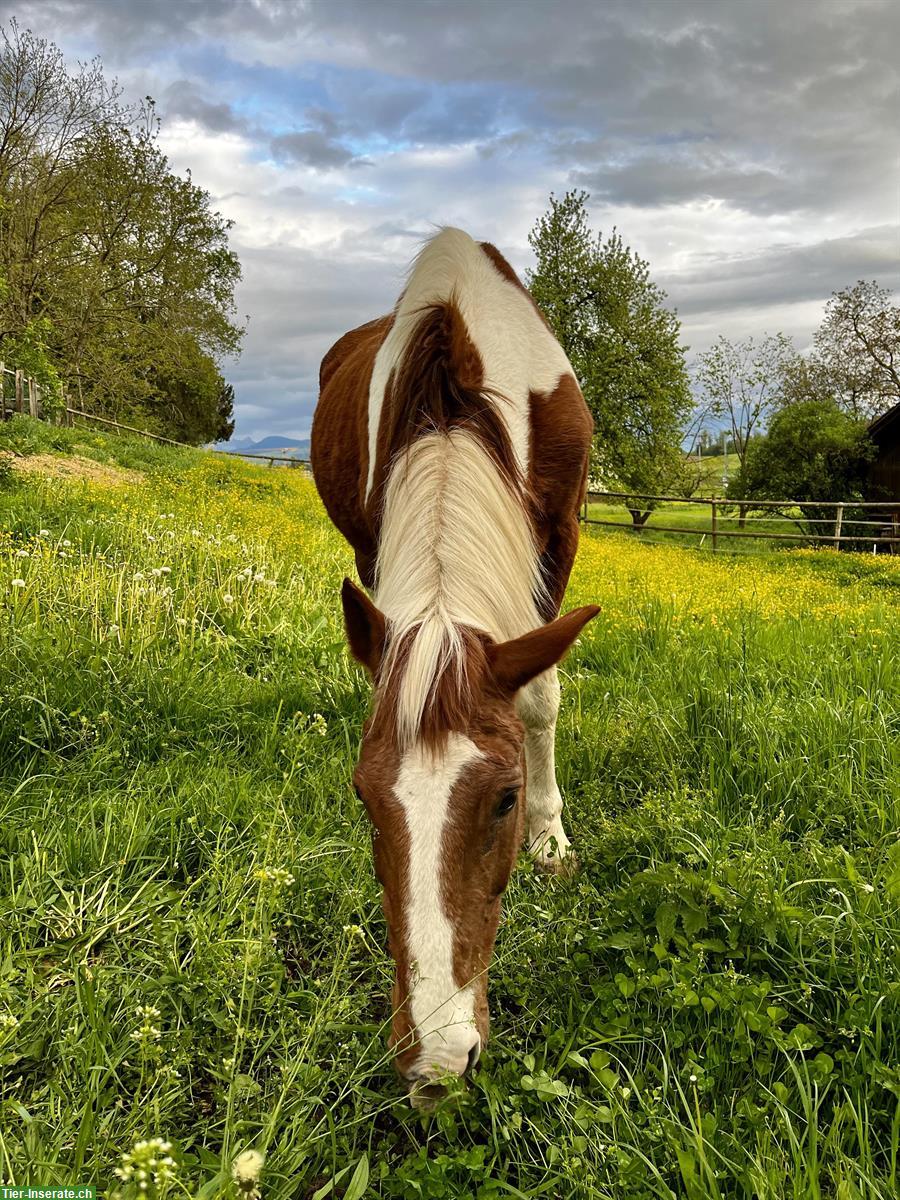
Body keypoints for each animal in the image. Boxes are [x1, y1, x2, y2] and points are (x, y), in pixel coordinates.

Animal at [309, 225, 600, 1099]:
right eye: (363, 799)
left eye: (504, 799)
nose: (436, 1061)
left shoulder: (560, 534)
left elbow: (538, 697)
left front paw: (551, 839)